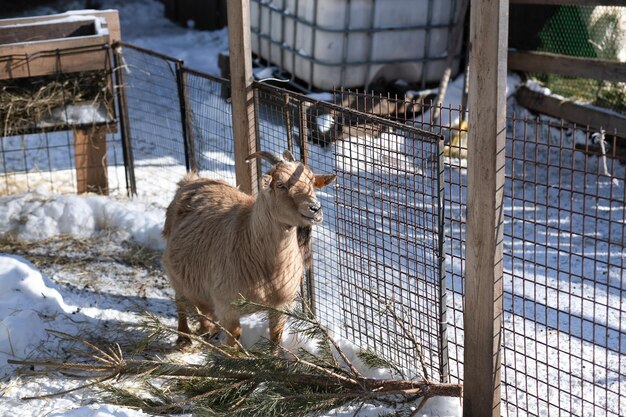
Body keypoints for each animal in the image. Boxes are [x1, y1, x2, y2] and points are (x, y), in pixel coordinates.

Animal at [163, 151, 334, 346]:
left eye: (312, 182)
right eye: (280, 184)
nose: (315, 208)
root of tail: (190, 180)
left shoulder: (281, 306)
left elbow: (275, 338)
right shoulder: (227, 305)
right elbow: (234, 337)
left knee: (202, 307)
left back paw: (207, 330)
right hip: (174, 272)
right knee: (180, 300)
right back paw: (183, 336)